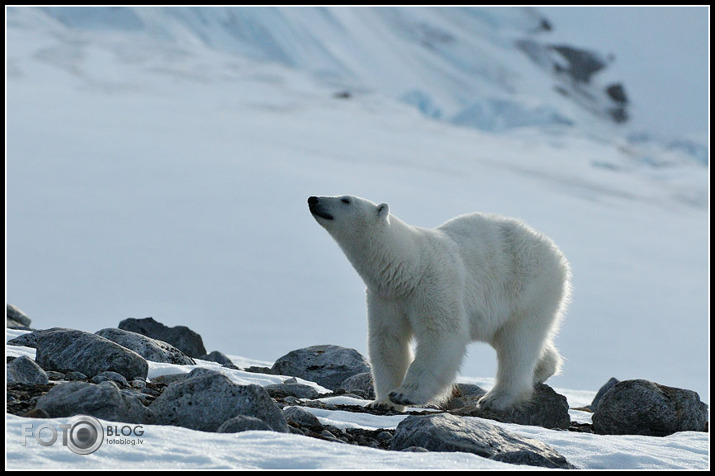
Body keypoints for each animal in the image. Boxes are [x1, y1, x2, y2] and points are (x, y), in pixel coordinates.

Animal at [306, 195, 572, 410]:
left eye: (346, 200)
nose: (313, 199)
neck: (408, 268)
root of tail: (556, 253)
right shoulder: (386, 297)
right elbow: (387, 340)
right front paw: (383, 401)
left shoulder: (435, 284)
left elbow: (441, 334)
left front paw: (404, 394)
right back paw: (542, 370)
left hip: (529, 288)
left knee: (518, 343)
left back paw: (496, 398)